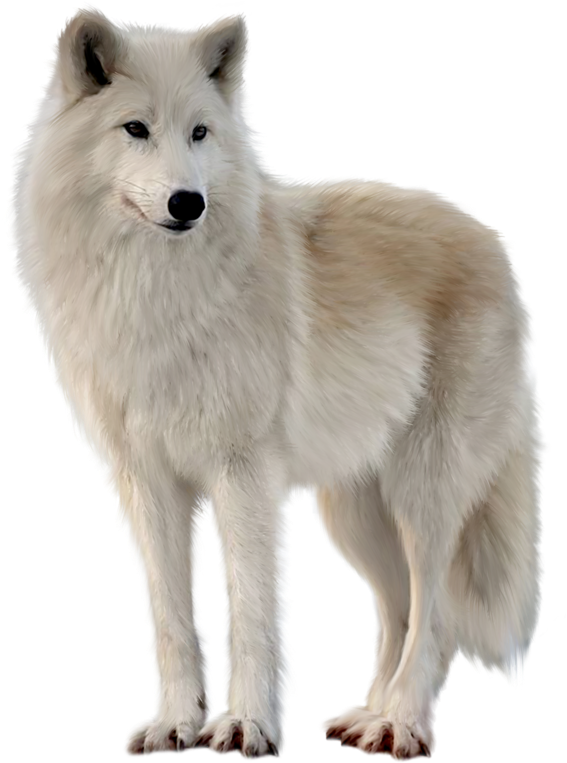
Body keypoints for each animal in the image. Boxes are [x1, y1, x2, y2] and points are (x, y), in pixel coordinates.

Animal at [6, 5, 545, 760]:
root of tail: (488, 238)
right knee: (397, 610)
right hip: (352, 513)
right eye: (135, 128)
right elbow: (172, 621)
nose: (188, 202)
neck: (156, 290)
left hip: (425, 494)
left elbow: (253, 611)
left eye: (200, 132)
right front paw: (176, 724)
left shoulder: (243, 475)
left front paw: (245, 726)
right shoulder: (146, 484)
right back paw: (366, 716)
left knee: (435, 620)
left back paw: (400, 724)